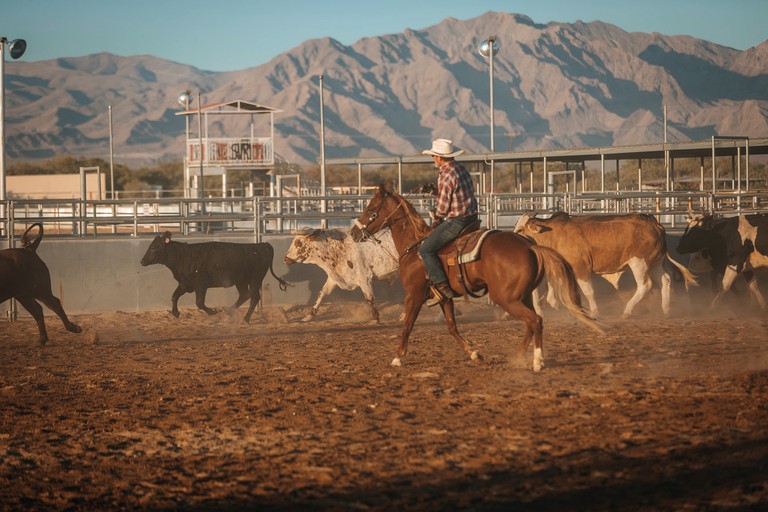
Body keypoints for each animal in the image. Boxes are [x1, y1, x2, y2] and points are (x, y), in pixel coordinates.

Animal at [140, 231, 288, 320]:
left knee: (254, 297)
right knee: (245, 295)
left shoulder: (201, 285)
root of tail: (262, 245)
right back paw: (230, 311)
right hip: (240, 281)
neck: (183, 256)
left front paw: (212, 312)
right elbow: (174, 296)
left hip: (255, 278)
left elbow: (199, 302)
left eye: (154, 248)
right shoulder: (184, 284)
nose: (142, 261)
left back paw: (245, 319)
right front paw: (176, 313)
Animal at [352, 186, 604, 370]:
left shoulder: (413, 296)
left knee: (535, 321)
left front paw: (397, 358)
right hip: (521, 297)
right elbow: (452, 327)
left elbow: (407, 326)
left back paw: (536, 361)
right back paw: (518, 355)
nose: (354, 233)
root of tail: (529, 245)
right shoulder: (445, 298)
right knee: (531, 323)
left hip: (506, 298)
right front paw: (474, 353)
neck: (415, 248)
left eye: (372, 208)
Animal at [512, 212, 700, 316]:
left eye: (521, 229)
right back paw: (666, 309)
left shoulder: (581, 269)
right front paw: (556, 305)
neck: (555, 235)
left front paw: (594, 311)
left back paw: (627, 311)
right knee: (665, 280)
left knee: (645, 285)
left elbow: (588, 291)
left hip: (639, 263)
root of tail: (655, 224)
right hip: (654, 263)